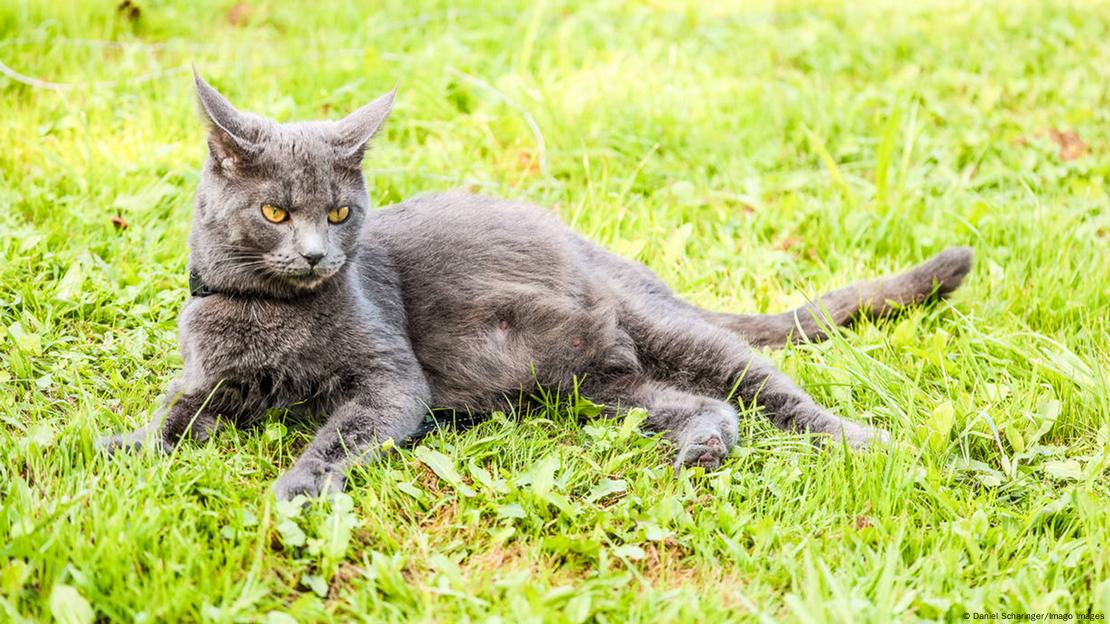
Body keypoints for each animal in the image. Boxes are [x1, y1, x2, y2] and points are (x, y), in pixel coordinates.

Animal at [99, 73, 976, 499]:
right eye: (276, 212)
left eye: (340, 212)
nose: (316, 257)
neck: (266, 313)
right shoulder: (208, 380)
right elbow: (176, 414)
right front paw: (120, 446)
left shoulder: (389, 380)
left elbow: (341, 435)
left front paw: (296, 489)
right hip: (595, 386)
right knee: (700, 404)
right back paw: (701, 449)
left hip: (658, 335)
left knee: (770, 391)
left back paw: (876, 445)